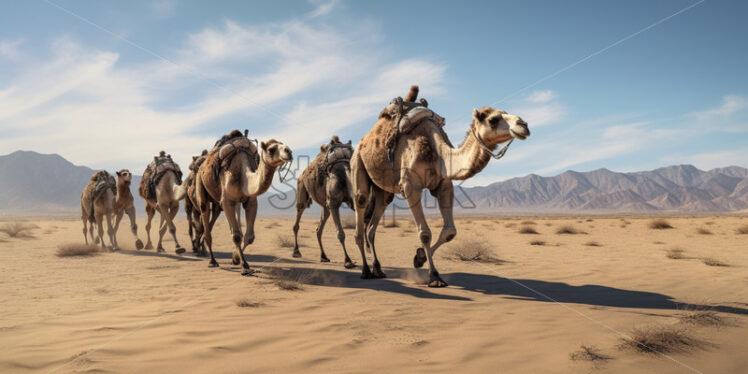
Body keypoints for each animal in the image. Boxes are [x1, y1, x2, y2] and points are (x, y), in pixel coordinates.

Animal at [196, 131, 292, 274]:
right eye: (271, 149)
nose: (289, 151)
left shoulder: (251, 201)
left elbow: (249, 236)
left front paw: (235, 258)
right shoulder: (227, 201)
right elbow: (236, 236)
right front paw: (245, 266)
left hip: (222, 202)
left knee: (217, 215)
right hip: (200, 184)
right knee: (204, 211)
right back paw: (212, 260)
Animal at [292, 136, 356, 268]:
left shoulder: (352, 202)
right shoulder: (333, 202)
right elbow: (340, 234)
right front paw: (348, 260)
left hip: (324, 205)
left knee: (319, 228)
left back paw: (324, 256)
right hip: (301, 186)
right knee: (299, 213)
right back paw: (296, 251)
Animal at [352, 86, 532, 288]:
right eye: (493, 119)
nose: (523, 124)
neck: (436, 151)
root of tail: (363, 141)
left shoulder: (444, 185)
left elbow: (450, 231)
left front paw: (419, 258)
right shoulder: (410, 187)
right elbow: (425, 233)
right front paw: (435, 276)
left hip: (383, 188)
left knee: (373, 223)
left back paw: (378, 269)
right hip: (357, 162)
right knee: (360, 206)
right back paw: (365, 271)